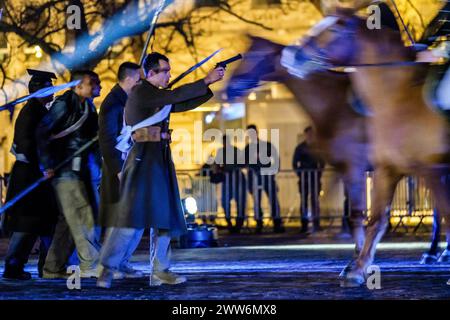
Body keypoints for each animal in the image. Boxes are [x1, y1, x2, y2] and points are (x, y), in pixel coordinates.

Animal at [296, 10, 450, 286]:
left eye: (334, 30)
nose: (293, 55)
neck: (399, 96)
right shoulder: (388, 168)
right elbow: (376, 219)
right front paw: (357, 269)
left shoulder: (431, 170)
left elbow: (446, 215)